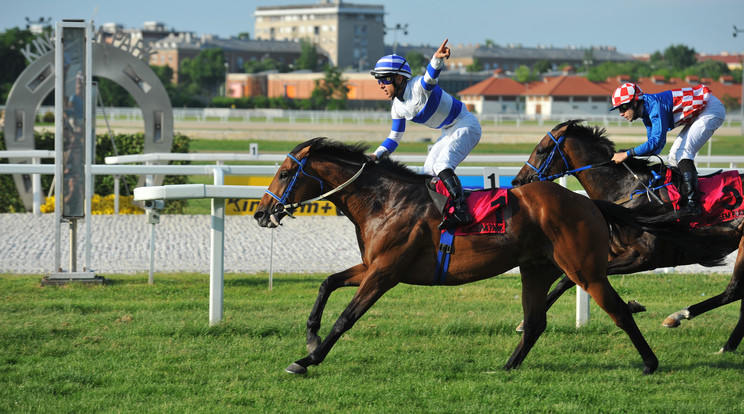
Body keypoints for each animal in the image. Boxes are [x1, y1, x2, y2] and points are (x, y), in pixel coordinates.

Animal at [254, 137, 656, 376]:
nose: (261, 213)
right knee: (535, 322)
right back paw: (507, 366)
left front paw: (307, 359)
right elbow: (327, 283)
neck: (385, 201)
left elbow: (346, 318)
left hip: (584, 270)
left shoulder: (384, 272)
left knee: (618, 312)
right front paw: (310, 337)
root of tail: (589, 202)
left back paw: (650, 363)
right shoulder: (372, 266)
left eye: (285, 173)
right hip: (536, 269)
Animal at [512, 119, 744, 352]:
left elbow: (569, 279)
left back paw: (680, 317)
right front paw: (524, 322)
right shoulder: (610, 253)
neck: (629, 192)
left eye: (540, 150)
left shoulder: (644, 257)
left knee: (733, 291)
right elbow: (567, 280)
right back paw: (726, 345)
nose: (517, 181)